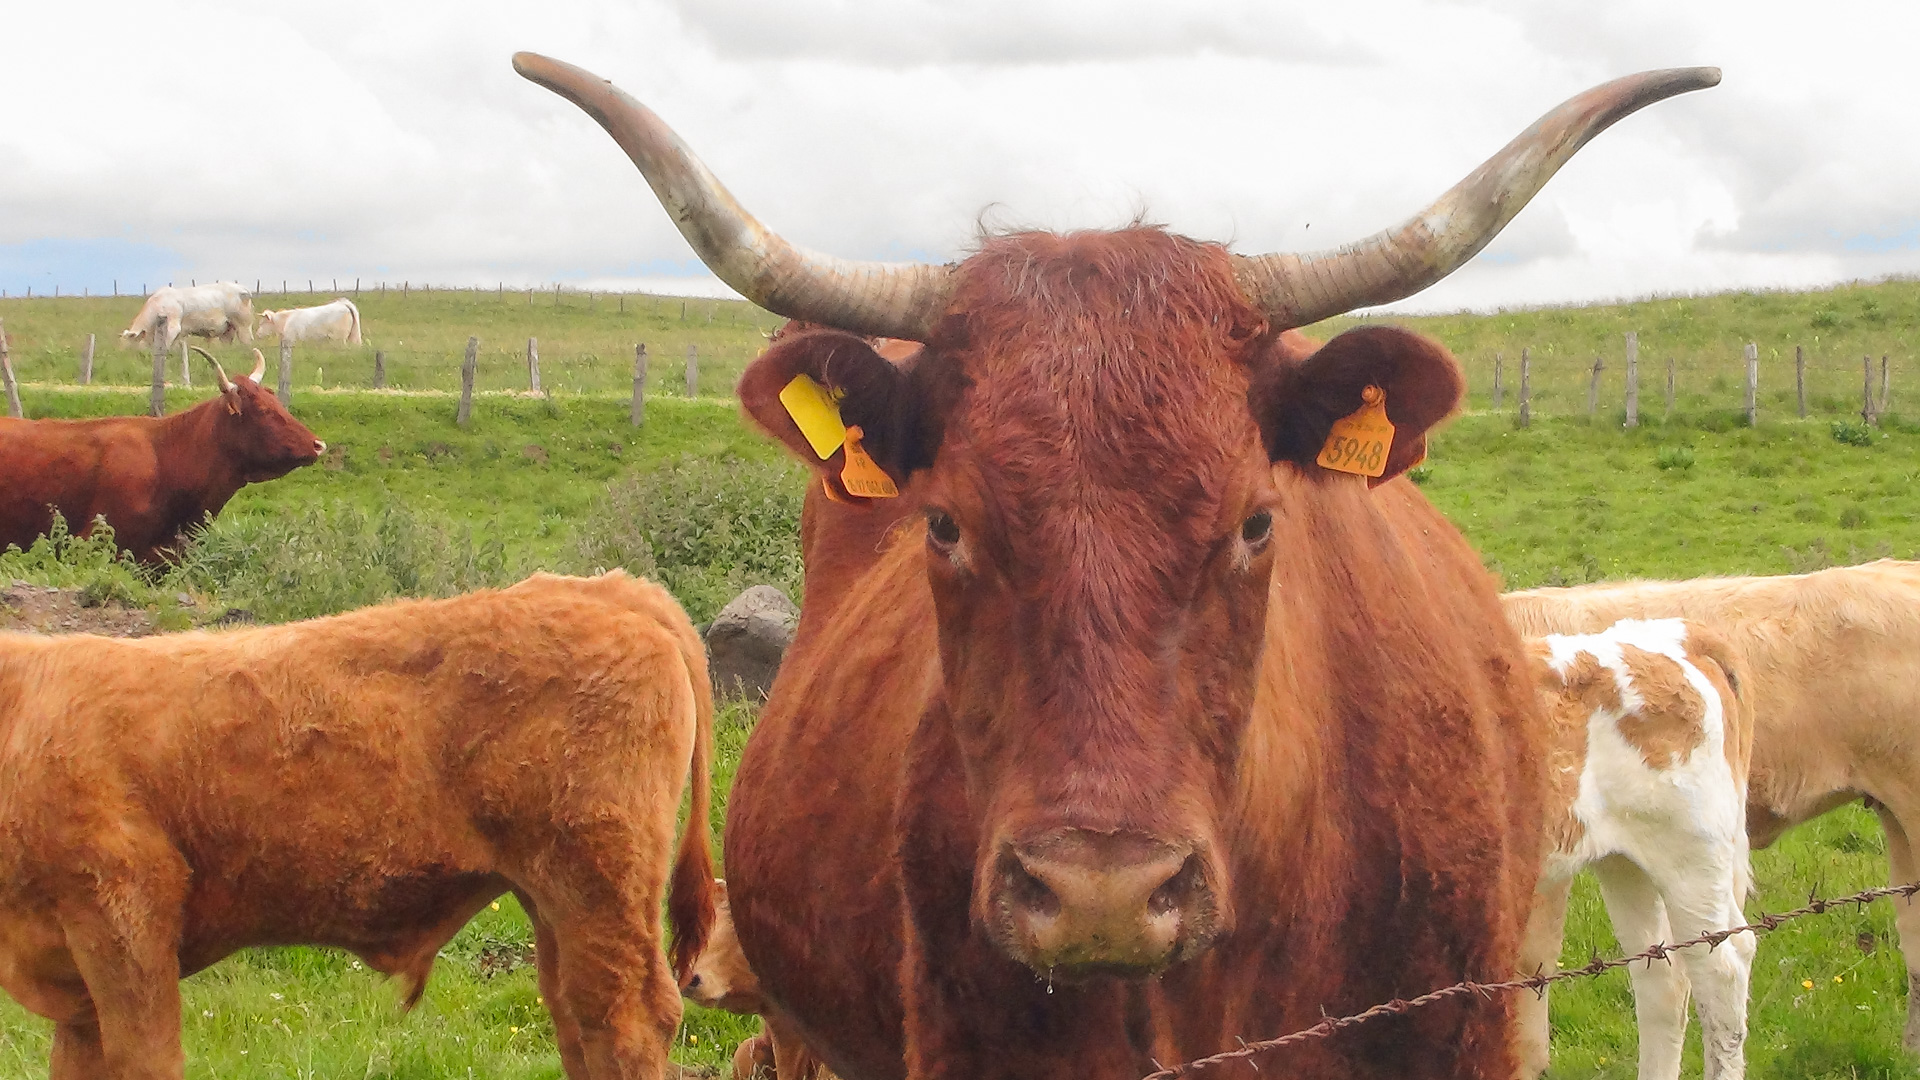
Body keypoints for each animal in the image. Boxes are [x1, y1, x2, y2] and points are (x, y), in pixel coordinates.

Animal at [0, 568, 718, 1068]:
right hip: (554, 898)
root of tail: (608, 589)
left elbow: (144, 1055)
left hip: (598, 886)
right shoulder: (76, 981)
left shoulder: (125, 919)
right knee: (576, 1014)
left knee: (628, 1019)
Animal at [117, 282, 253, 349]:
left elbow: (166, 346)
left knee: (247, 341)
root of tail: (242, 288)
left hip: (243, 325)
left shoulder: (173, 328)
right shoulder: (180, 334)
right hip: (228, 329)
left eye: (129, 345)